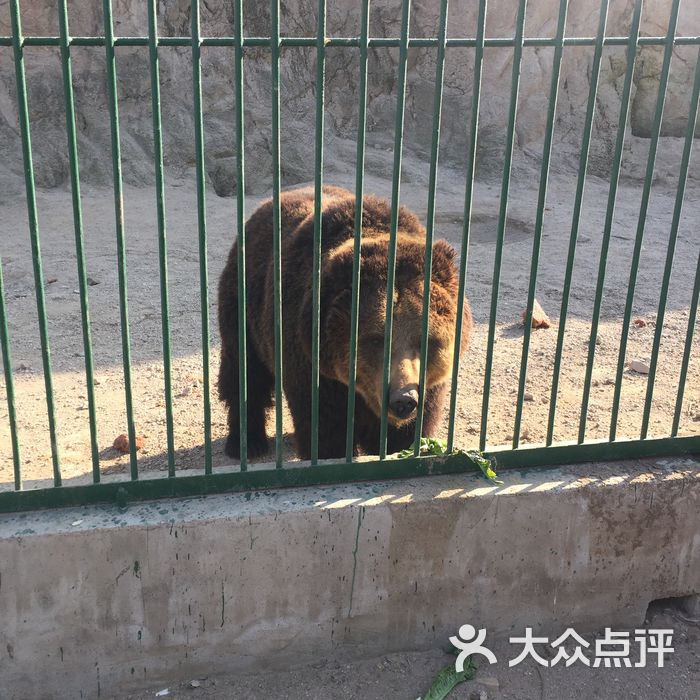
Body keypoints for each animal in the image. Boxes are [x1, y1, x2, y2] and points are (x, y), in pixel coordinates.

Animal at [216, 186, 474, 460]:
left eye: (426, 340)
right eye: (376, 339)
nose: (403, 399)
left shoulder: (429, 386)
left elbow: (409, 434)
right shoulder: (315, 369)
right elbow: (326, 432)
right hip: (243, 303)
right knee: (245, 373)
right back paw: (247, 443)